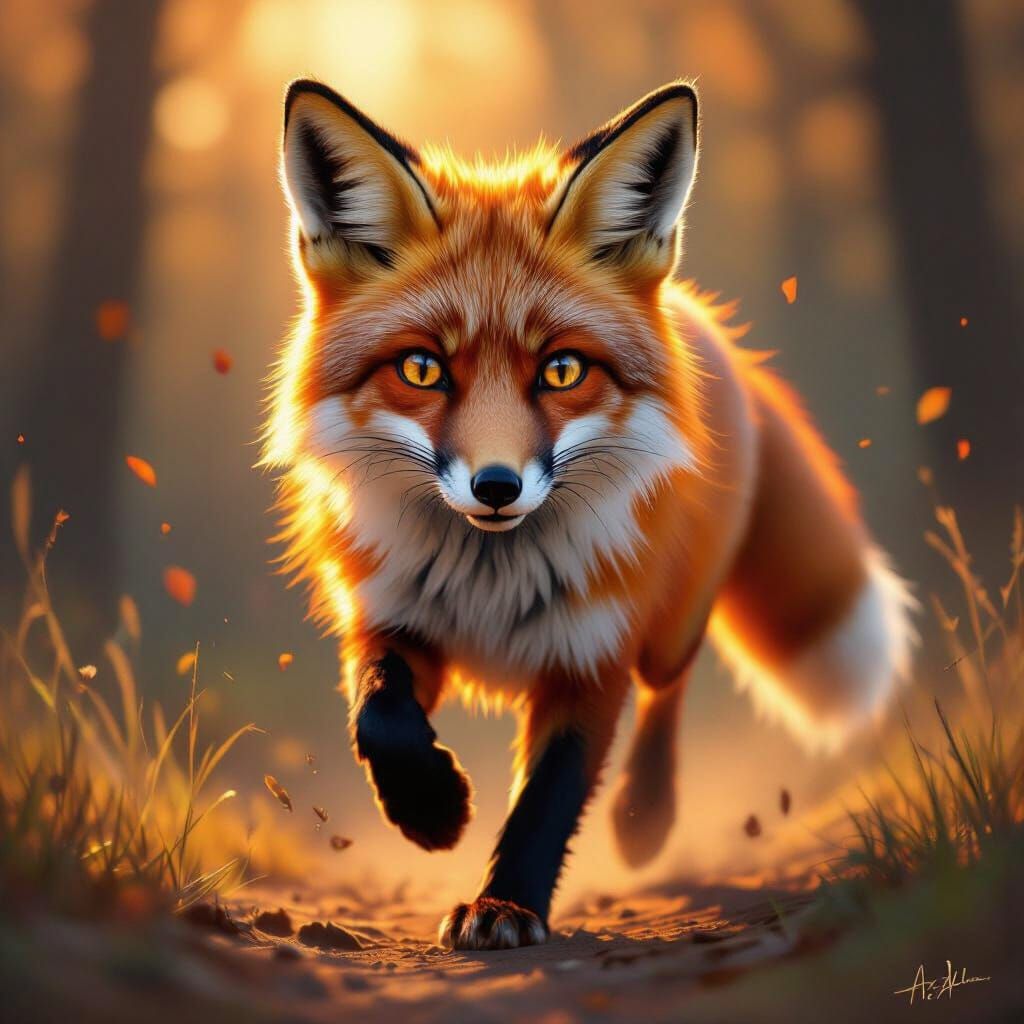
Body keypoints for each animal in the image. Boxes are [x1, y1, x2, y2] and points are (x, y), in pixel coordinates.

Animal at [262, 79, 916, 951]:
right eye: (423, 369)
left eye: (562, 370)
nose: (496, 486)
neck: (491, 580)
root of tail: (701, 319)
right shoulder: (391, 617)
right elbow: (381, 718)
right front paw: (432, 812)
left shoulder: (590, 654)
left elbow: (549, 800)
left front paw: (507, 904)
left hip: (669, 627)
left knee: (671, 688)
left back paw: (645, 816)